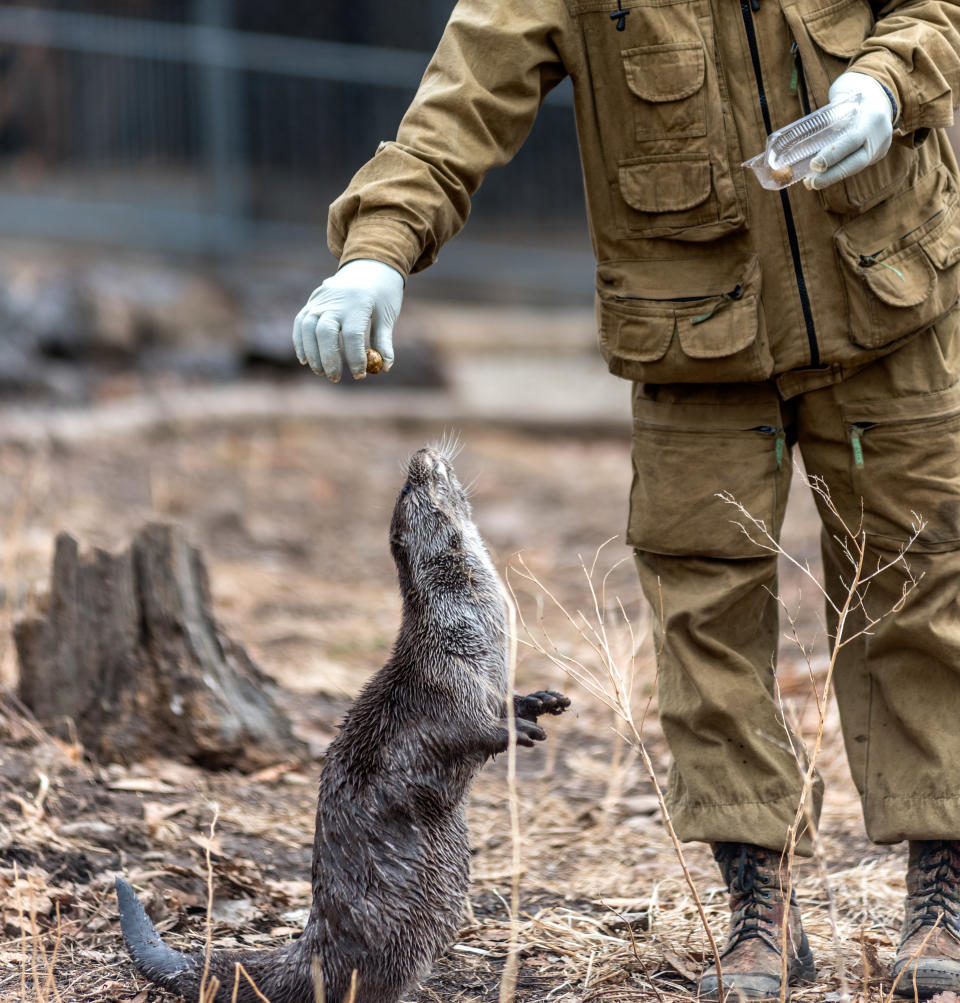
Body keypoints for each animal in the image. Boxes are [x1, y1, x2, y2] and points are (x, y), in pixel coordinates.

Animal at [117, 445, 569, 1003]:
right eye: (407, 488)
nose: (424, 453)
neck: (468, 636)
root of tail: (311, 944)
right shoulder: (444, 682)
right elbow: (468, 731)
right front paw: (516, 733)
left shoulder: (487, 683)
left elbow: (510, 701)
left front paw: (541, 701)